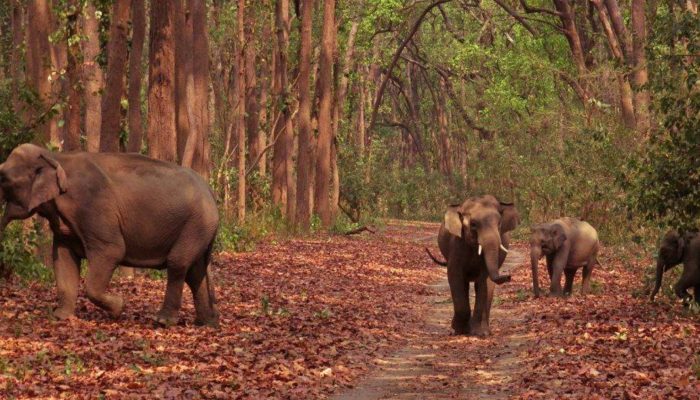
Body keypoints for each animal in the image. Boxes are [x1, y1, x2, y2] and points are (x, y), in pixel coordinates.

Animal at [0, 144, 219, 328]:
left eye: (3, 178)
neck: (55, 157)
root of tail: (209, 190)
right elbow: (62, 259)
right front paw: (59, 316)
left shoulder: (93, 207)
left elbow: (112, 250)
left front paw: (119, 307)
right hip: (199, 229)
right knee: (195, 272)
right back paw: (206, 323)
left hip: (196, 225)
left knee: (177, 263)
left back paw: (163, 321)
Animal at [424, 195, 516, 336]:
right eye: (473, 224)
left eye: (499, 224)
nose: (508, 276)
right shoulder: (456, 246)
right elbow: (455, 277)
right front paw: (459, 330)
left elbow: (484, 282)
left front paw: (479, 333)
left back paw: (485, 330)